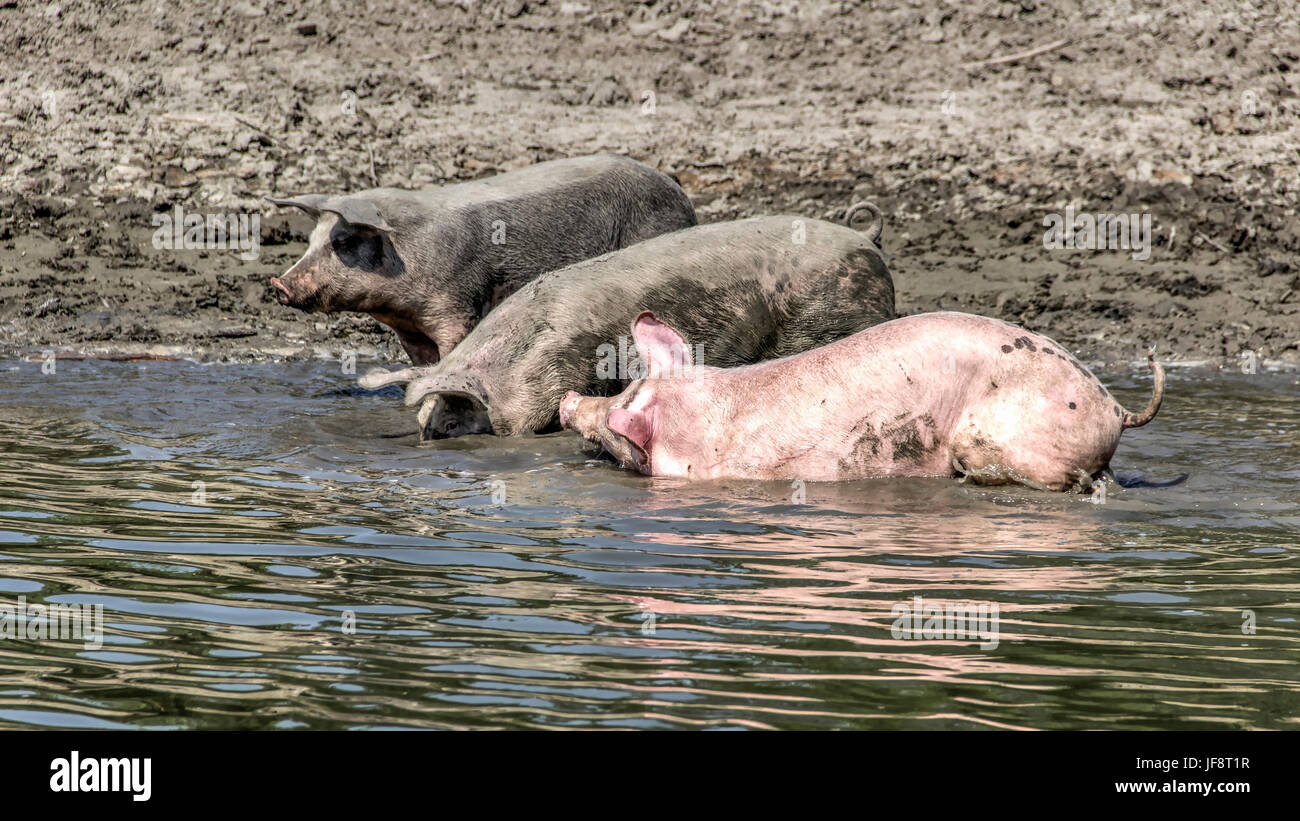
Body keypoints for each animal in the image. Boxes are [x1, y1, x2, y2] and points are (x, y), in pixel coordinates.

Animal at [261, 153, 691, 361]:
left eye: (343, 242)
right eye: (311, 240)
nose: (279, 283)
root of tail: (679, 192)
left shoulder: (457, 305)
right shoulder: (410, 329)